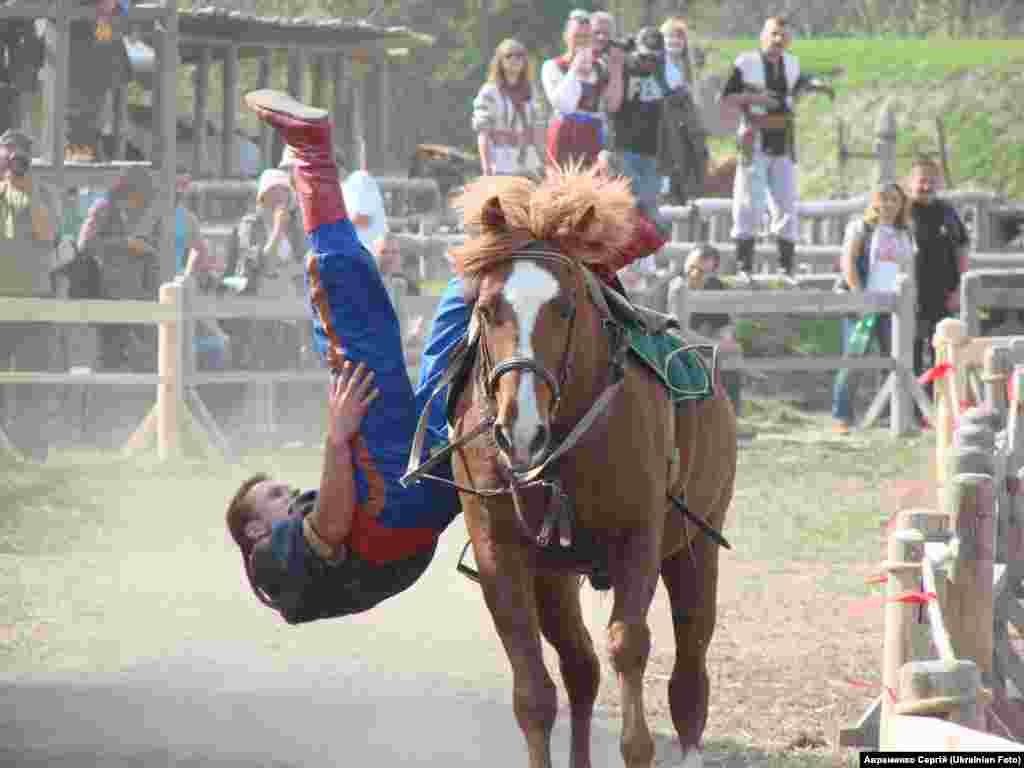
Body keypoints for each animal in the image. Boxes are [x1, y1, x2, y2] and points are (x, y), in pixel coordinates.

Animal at [440, 169, 737, 768]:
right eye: (487, 308)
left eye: (565, 307)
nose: (520, 430)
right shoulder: (502, 554)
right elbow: (533, 691)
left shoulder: (639, 539)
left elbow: (630, 644)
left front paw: (637, 744)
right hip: (556, 577)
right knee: (580, 668)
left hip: (696, 549)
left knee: (689, 682)